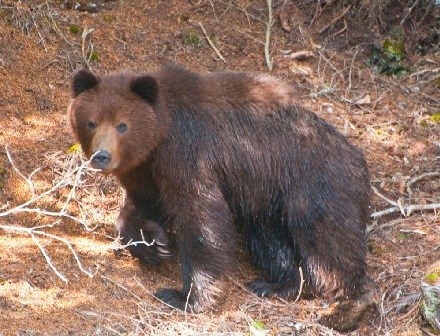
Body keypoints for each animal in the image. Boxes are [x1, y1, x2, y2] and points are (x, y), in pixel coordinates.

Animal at [68, 65, 372, 320]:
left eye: (122, 125)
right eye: (91, 122)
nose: (102, 156)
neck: (160, 136)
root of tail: (355, 153)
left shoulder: (188, 154)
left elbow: (201, 219)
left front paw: (187, 297)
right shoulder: (145, 172)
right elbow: (140, 207)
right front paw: (154, 245)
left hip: (313, 185)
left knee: (327, 240)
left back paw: (347, 302)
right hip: (267, 199)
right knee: (271, 240)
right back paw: (276, 284)